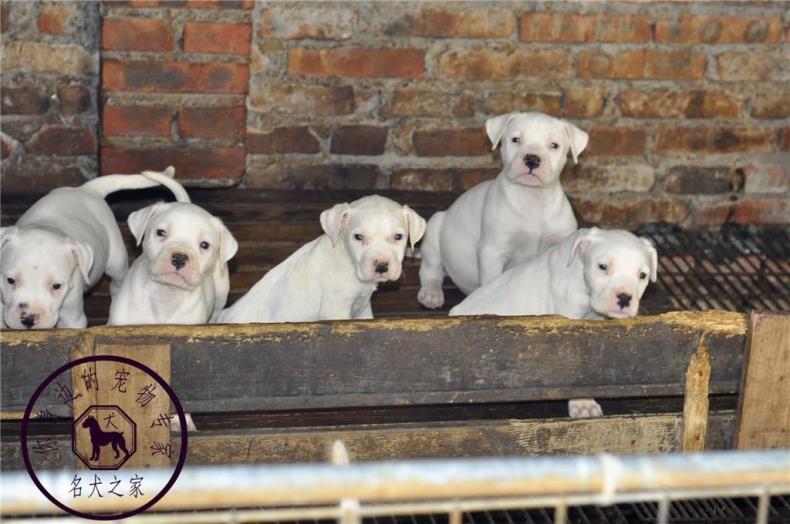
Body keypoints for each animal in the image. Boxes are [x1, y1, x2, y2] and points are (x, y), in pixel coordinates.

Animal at [0, 166, 180, 330]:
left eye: (57, 286)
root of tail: (87, 189)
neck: (46, 227)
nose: (28, 319)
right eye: (10, 280)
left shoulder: (73, 318)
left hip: (116, 262)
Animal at [217, 194, 426, 322]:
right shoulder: (337, 310)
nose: (381, 266)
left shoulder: (363, 309)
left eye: (398, 237)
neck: (349, 262)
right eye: (358, 237)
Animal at [418, 110, 592, 308]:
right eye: (516, 139)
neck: (533, 198)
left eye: (554, 145)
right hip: (434, 231)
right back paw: (431, 292)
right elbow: (491, 282)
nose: (532, 159)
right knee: (430, 269)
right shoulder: (493, 252)